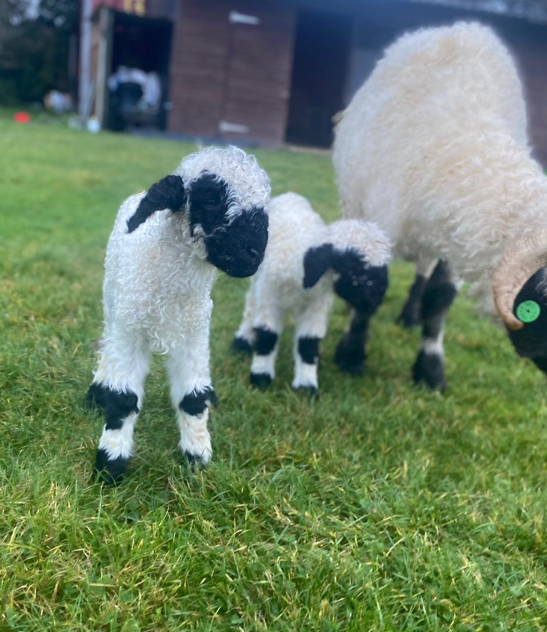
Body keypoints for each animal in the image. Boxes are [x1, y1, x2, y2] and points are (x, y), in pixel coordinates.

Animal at [86, 146, 272, 482]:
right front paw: (110, 465)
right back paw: (97, 392)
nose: (254, 254)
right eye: (210, 199)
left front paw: (197, 457)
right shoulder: (131, 331)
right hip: (113, 299)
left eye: (264, 206)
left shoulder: (194, 336)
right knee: (107, 340)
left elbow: (193, 398)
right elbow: (123, 399)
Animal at [233, 190, 392, 392]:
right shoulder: (270, 297)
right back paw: (243, 340)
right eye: (352, 268)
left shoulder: (316, 305)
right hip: (259, 279)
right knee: (251, 304)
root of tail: (290, 194)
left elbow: (308, 342)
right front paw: (261, 378)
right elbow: (268, 336)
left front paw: (306, 385)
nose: (375, 301)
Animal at [332, 22, 547, 390]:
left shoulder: (457, 238)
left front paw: (430, 371)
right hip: (354, 204)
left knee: (421, 272)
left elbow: (439, 298)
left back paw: (409, 316)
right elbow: (372, 288)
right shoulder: (381, 220)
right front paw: (350, 356)